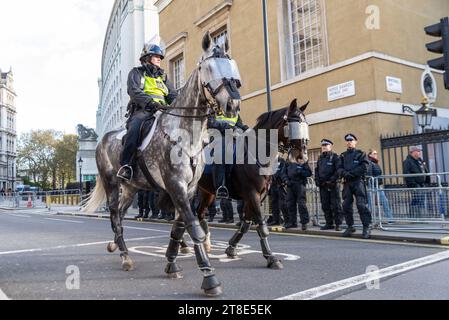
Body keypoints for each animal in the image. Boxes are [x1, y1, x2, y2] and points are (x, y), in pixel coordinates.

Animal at [81, 31, 242, 296]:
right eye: (208, 67)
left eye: (232, 65)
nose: (232, 105)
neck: (186, 134)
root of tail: (102, 139)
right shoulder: (175, 184)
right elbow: (193, 227)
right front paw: (209, 278)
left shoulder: (188, 189)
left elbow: (179, 226)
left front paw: (172, 263)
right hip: (111, 183)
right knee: (114, 214)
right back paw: (125, 256)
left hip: (132, 187)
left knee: (121, 215)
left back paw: (116, 246)